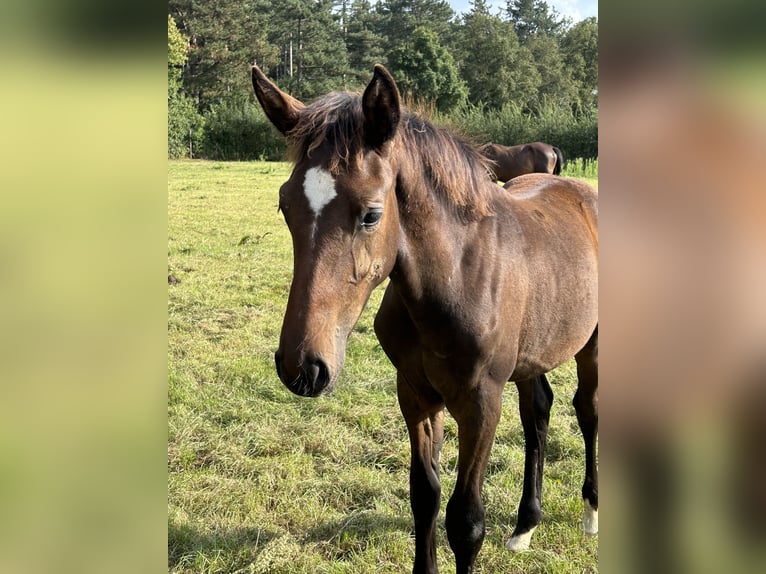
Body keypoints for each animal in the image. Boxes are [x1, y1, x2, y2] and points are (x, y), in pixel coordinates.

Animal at [252, 65, 600, 572]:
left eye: (371, 214)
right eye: (285, 205)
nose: (302, 367)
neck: (455, 279)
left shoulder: (481, 404)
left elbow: (466, 521)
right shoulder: (415, 394)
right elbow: (425, 497)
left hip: (591, 345)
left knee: (587, 410)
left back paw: (591, 512)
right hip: (533, 351)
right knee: (538, 410)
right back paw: (524, 526)